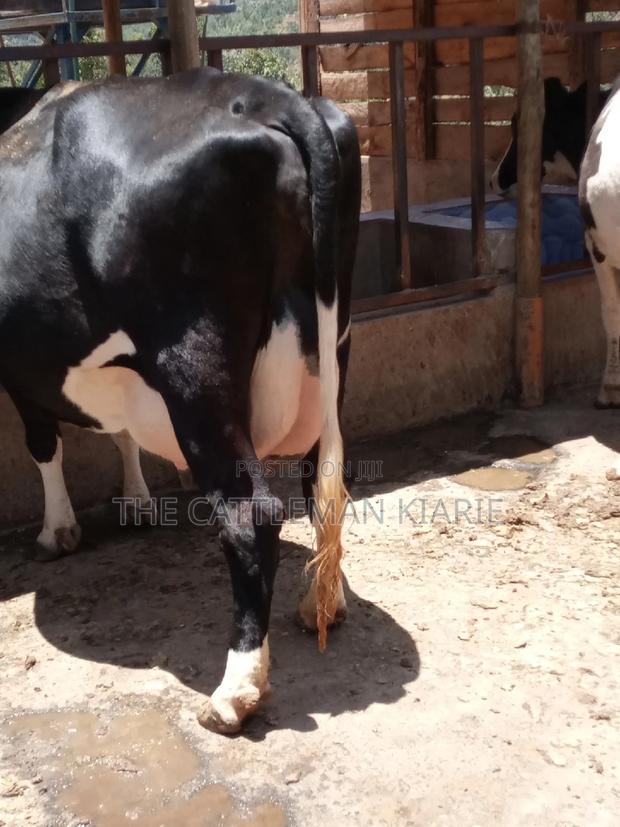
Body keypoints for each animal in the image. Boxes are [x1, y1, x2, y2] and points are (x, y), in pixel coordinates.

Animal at [0, 68, 362, 732]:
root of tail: (266, 95)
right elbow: (119, 432)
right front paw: (137, 502)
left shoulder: (21, 368)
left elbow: (43, 443)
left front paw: (57, 531)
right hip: (336, 345)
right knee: (324, 489)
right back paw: (323, 604)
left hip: (193, 361)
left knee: (251, 512)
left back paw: (235, 689)